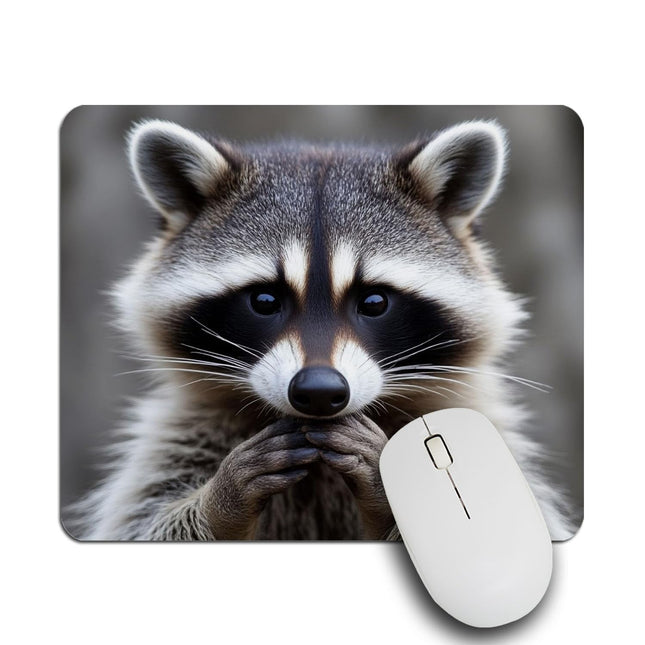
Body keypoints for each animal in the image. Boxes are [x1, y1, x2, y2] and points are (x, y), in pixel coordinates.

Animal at [68, 119, 573, 541]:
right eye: (265, 301)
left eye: (374, 302)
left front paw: (389, 486)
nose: (318, 391)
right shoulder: (178, 433)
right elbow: (143, 521)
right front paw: (220, 502)